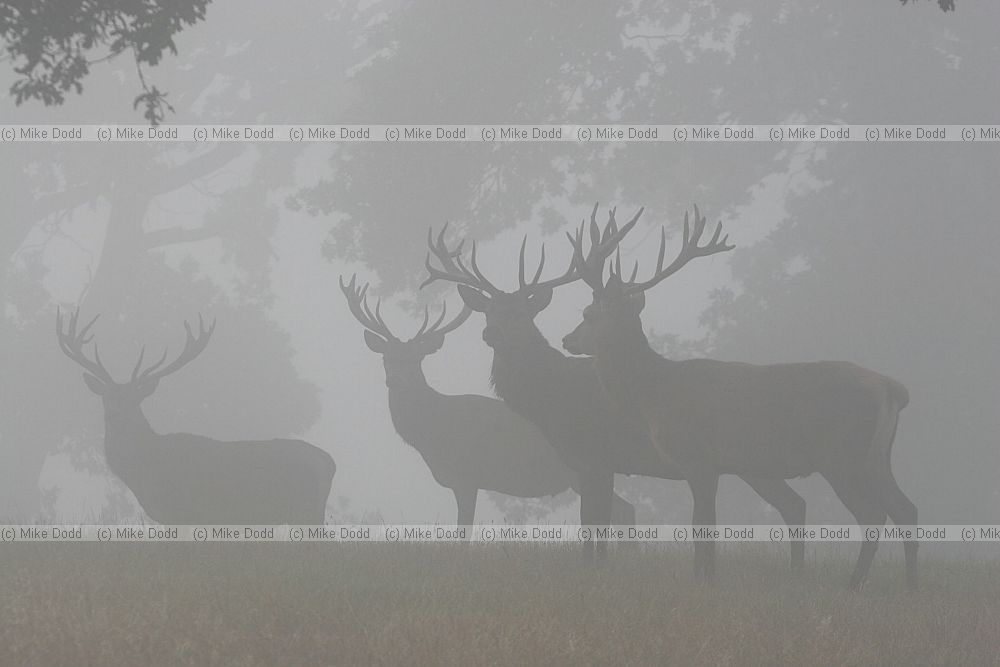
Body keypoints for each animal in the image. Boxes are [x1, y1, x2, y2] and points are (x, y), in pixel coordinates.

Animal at [56, 308, 336, 525]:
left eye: (135, 400)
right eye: (106, 397)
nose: (115, 415)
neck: (144, 469)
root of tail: (329, 462)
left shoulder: (185, 512)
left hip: (306, 509)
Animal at [339, 274, 636, 527]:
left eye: (416, 359)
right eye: (386, 358)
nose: (395, 380)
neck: (433, 433)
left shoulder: (467, 476)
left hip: (583, 468)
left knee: (624, 510)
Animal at [423, 222, 810, 566]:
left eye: (520, 313)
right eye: (487, 312)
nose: (491, 334)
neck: (553, 400)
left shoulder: (596, 456)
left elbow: (594, 525)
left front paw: (593, 570)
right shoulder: (591, 463)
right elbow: (595, 525)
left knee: (793, 504)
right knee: (793, 504)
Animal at [561, 204, 918, 590]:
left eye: (588, 314)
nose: (567, 339)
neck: (654, 395)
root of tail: (891, 387)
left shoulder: (697, 457)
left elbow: (702, 526)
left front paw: (702, 581)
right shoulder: (714, 465)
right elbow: (708, 526)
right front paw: (708, 578)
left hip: (841, 455)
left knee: (873, 513)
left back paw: (853, 585)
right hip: (877, 457)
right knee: (905, 508)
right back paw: (909, 585)